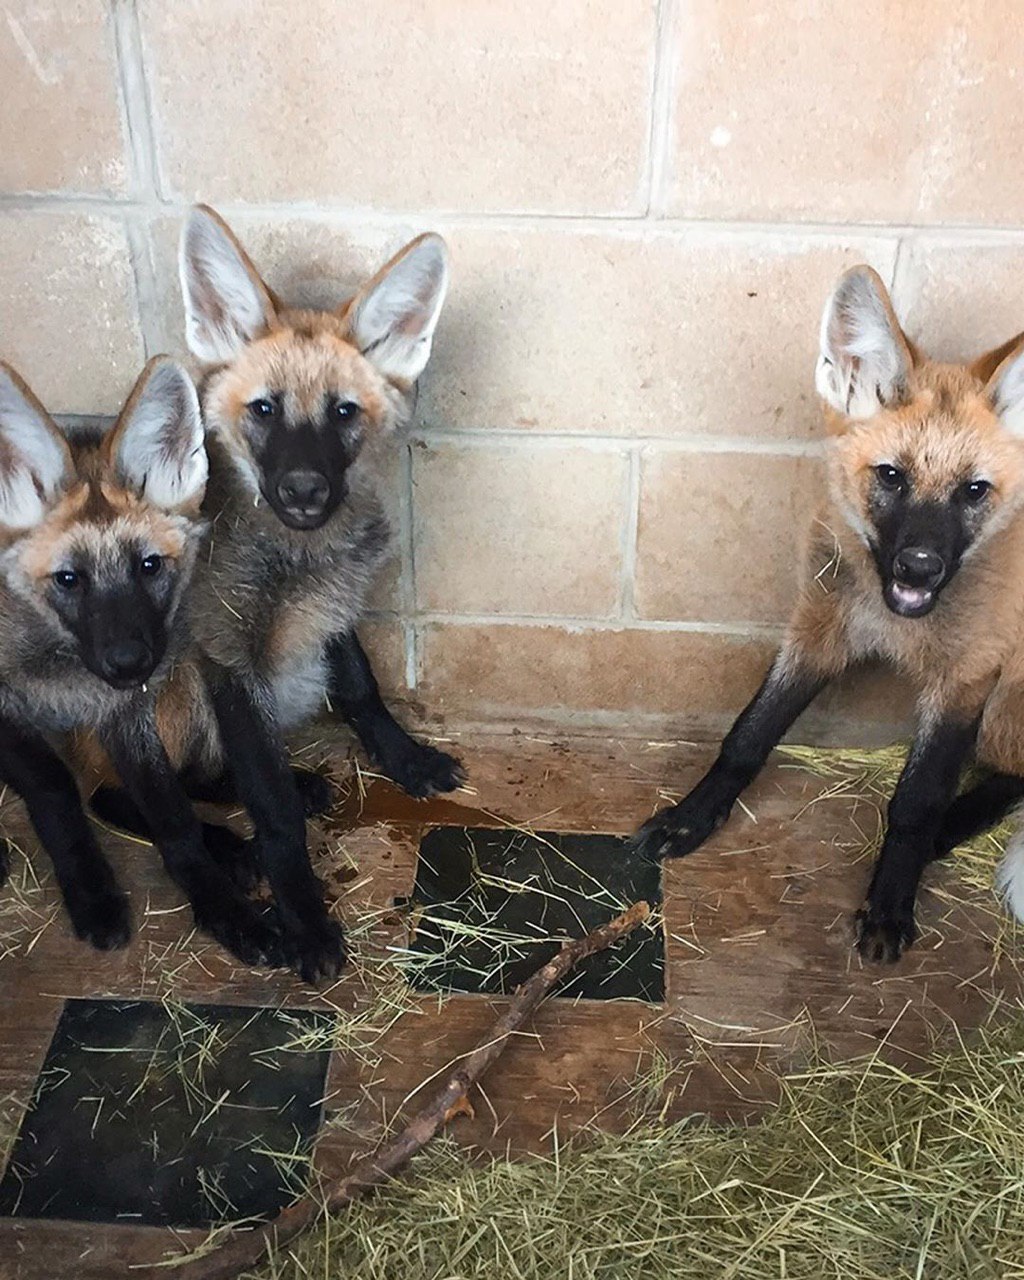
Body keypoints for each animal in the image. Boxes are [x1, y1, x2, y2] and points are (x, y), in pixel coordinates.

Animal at [632, 265, 1024, 963]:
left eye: (973, 491)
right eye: (892, 477)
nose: (919, 567)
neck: (893, 620)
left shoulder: (969, 674)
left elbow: (917, 801)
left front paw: (891, 904)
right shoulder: (821, 628)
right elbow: (747, 734)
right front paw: (692, 817)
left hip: (1010, 697)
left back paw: (954, 826)